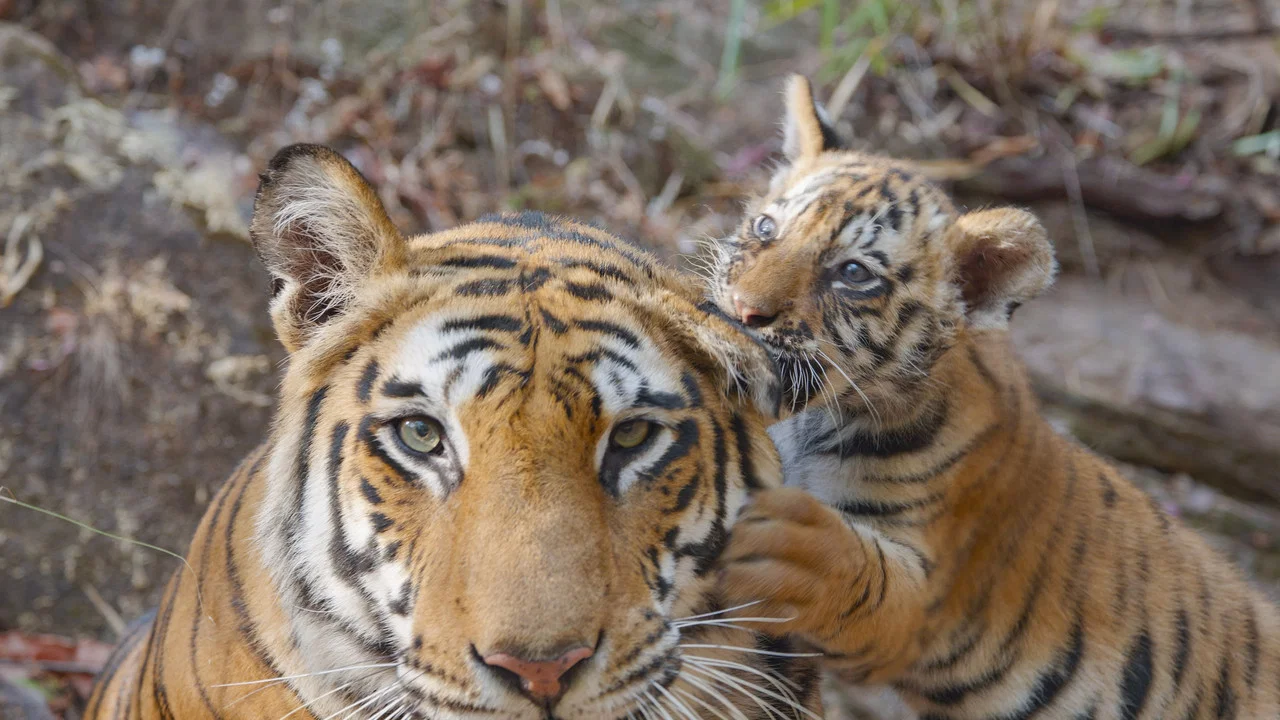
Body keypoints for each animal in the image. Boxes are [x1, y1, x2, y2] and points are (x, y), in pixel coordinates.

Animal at [706, 75, 1280, 719]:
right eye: (766, 229)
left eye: (853, 273)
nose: (744, 310)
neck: (810, 422)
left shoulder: (923, 605)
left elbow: (858, 576)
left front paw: (788, 548)